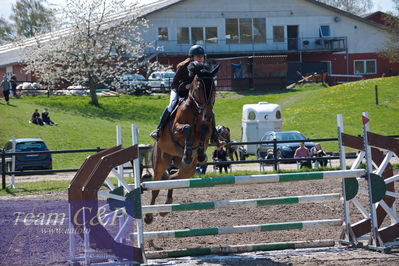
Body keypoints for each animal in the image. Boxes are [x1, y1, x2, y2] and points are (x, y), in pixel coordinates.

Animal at [146, 63, 222, 225]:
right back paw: (149, 216)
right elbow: (187, 128)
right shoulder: (176, 129)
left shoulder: (206, 131)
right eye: (198, 88)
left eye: (214, 88)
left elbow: (204, 131)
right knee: (156, 187)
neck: (196, 110)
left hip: (188, 169)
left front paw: (200, 155)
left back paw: (166, 207)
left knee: (173, 179)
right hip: (160, 162)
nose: (207, 115)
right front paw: (187, 152)